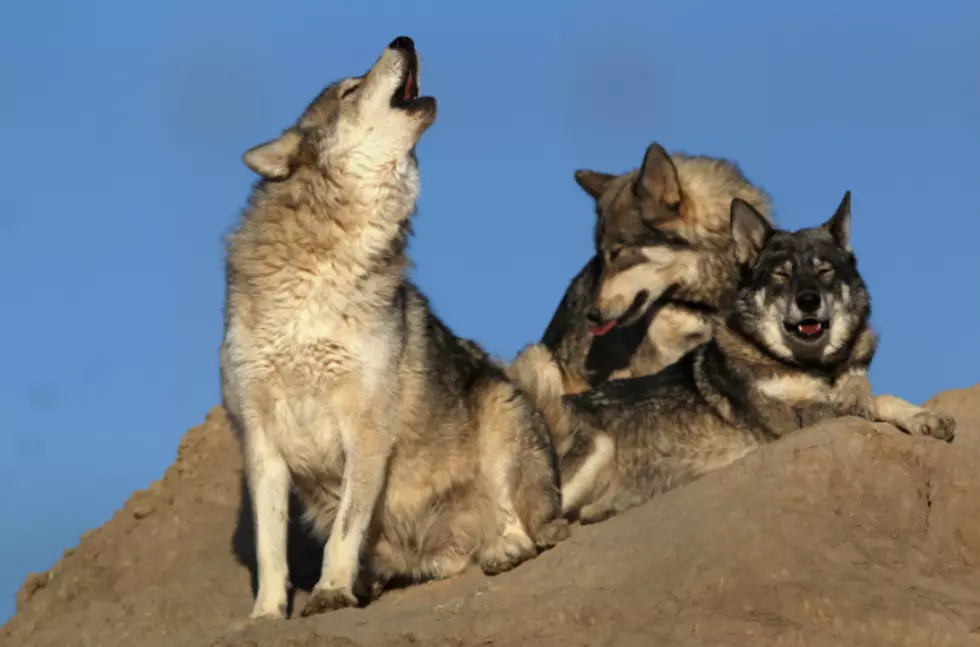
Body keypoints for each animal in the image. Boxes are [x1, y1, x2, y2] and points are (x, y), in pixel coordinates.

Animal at [214, 36, 568, 624]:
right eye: (349, 90)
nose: (403, 38)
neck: (320, 273)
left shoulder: (366, 431)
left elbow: (344, 530)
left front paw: (330, 592)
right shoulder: (261, 442)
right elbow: (269, 548)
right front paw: (265, 616)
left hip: (499, 411)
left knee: (522, 527)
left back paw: (504, 548)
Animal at [510, 192, 952, 528]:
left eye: (824, 270)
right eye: (781, 274)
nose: (808, 301)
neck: (812, 368)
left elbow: (880, 397)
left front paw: (925, 417)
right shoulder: (793, 423)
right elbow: (870, 402)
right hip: (591, 445)